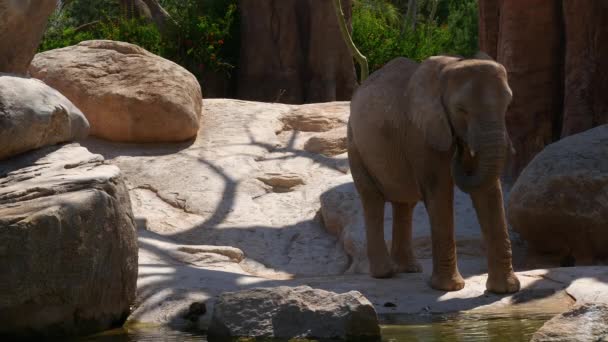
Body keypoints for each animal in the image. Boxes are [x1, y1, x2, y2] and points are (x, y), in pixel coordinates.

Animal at [350, 54, 520, 294]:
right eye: (461, 109)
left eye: (507, 105)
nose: (460, 149)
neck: (453, 64)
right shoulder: (421, 134)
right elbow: (439, 192)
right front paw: (450, 288)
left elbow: (489, 193)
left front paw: (505, 290)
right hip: (355, 144)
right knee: (372, 199)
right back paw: (385, 273)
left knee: (405, 203)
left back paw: (409, 269)